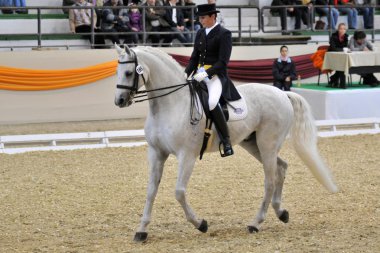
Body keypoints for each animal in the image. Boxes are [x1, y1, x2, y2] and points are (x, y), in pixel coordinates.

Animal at [113, 45, 338, 241]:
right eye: (117, 71)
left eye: (128, 73)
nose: (119, 101)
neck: (171, 105)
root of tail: (282, 93)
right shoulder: (156, 153)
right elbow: (151, 190)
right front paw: (141, 230)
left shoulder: (187, 156)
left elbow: (179, 192)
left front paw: (201, 224)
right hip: (254, 144)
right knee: (281, 168)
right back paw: (281, 213)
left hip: (267, 144)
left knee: (270, 180)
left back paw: (256, 223)